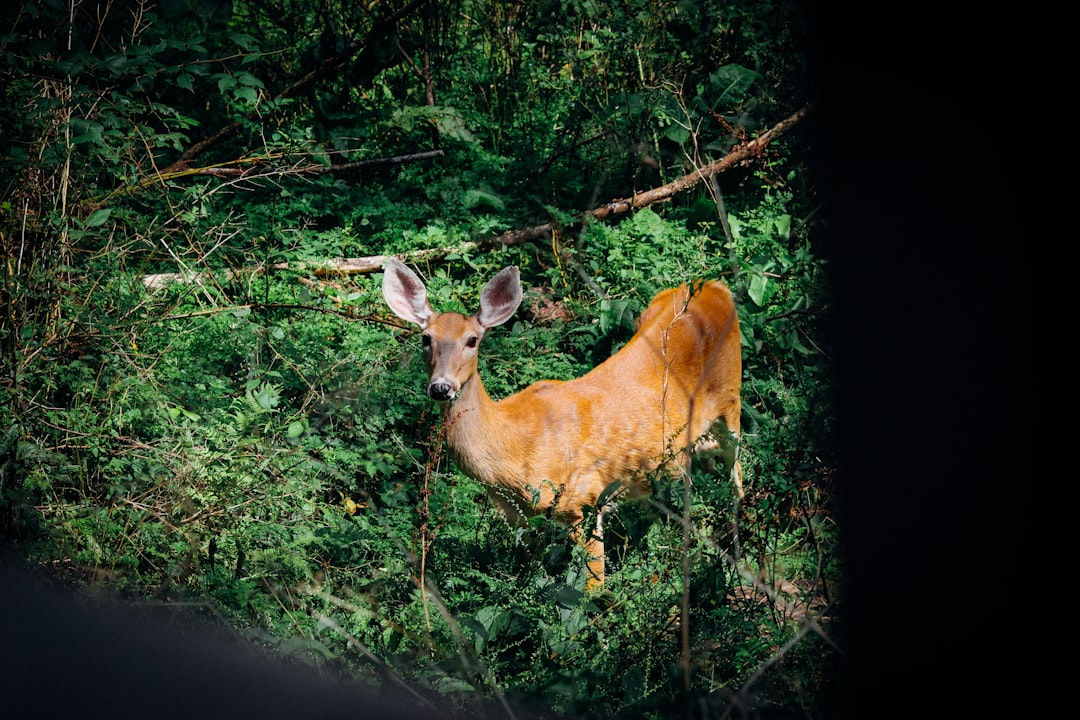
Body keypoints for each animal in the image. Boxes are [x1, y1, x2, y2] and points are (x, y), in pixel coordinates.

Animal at [382, 259, 743, 591]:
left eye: (472, 340)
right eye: (426, 338)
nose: (441, 387)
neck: (512, 451)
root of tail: (716, 287)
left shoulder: (584, 498)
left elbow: (595, 587)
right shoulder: (522, 518)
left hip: (731, 399)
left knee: (737, 467)